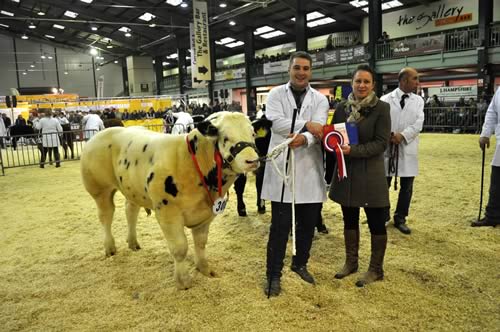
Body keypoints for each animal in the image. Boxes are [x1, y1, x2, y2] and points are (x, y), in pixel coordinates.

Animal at [80, 111, 260, 288]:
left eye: (253, 134)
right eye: (225, 137)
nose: (252, 160)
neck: (191, 161)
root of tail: (99, 134)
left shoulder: (206, 215)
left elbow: (201, 243)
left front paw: (205, 270)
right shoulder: (167, 212)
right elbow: (180, 248)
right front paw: (183, 281)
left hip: (132, 188)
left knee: (130, 210)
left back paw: (133, 243)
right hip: (99, 189)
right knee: (106, 216)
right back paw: (110, 248)